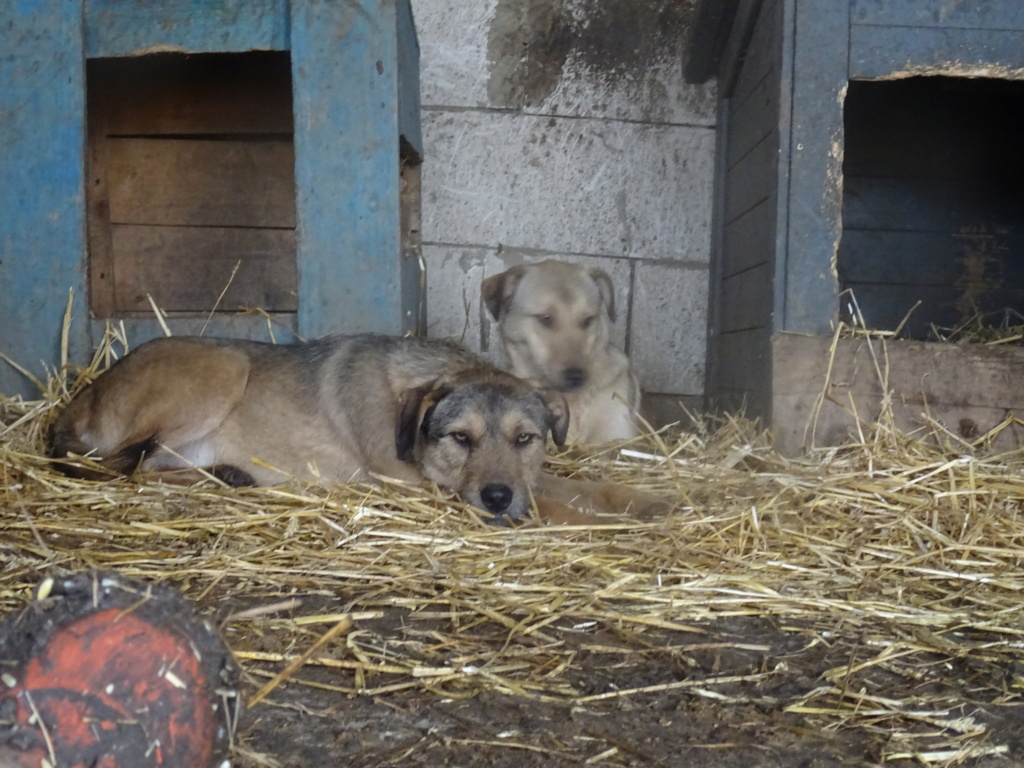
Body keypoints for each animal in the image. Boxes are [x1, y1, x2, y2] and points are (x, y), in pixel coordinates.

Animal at [49, 333, 671, 528]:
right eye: (460, 438)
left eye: (526, 439)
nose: (497, 497)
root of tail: (81, 394)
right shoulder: (421, 489)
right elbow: (552, 503)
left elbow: (575, 487)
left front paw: (647, 503)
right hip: (224, 367)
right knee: (132, 468)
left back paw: (229, 475)